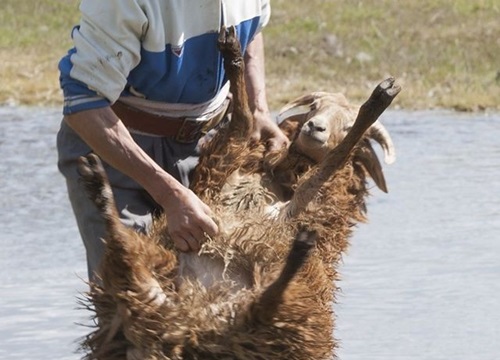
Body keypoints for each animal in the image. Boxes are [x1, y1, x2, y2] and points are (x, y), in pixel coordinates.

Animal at [76, 26, 400, 360]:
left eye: (343, 122)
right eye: (313, 106)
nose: (314, 127)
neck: (275, 182)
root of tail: (186, 329)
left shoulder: (290, 208)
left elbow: (329, 161)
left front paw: (372, 106)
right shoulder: (224, 168)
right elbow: (244, 123)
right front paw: (233, 56)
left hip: (274, 319)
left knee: (268, 300)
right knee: (124, 249)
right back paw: (97, 186)